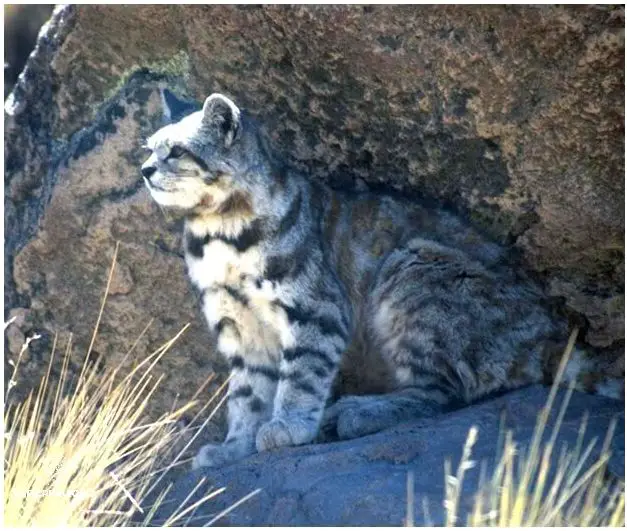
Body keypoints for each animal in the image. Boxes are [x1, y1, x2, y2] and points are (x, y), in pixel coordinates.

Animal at [141, 91, 624, 470]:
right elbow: (246, 393)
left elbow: (301, 374)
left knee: (446, 391)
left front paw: (288, 426)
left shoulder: (316, 308)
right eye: (148, 148)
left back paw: (357, 410)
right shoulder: (237, 322)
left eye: (176, 151)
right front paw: (235, 446)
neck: (216, 231)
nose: (144, 170)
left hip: (412, 266)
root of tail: (553, 333)